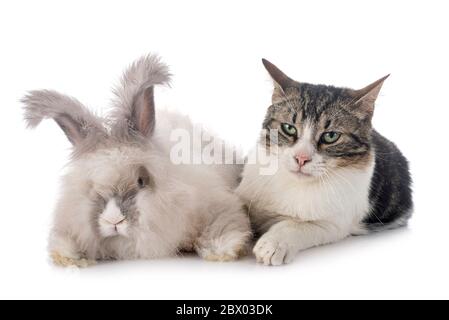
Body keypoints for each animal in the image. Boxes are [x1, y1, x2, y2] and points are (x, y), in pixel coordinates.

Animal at [22, 55, 252, 268]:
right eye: (92, 189)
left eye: (141, 181)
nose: (113, 220)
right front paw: (69, 257)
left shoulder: (216, 203)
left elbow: (224, 224)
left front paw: (221, 251)